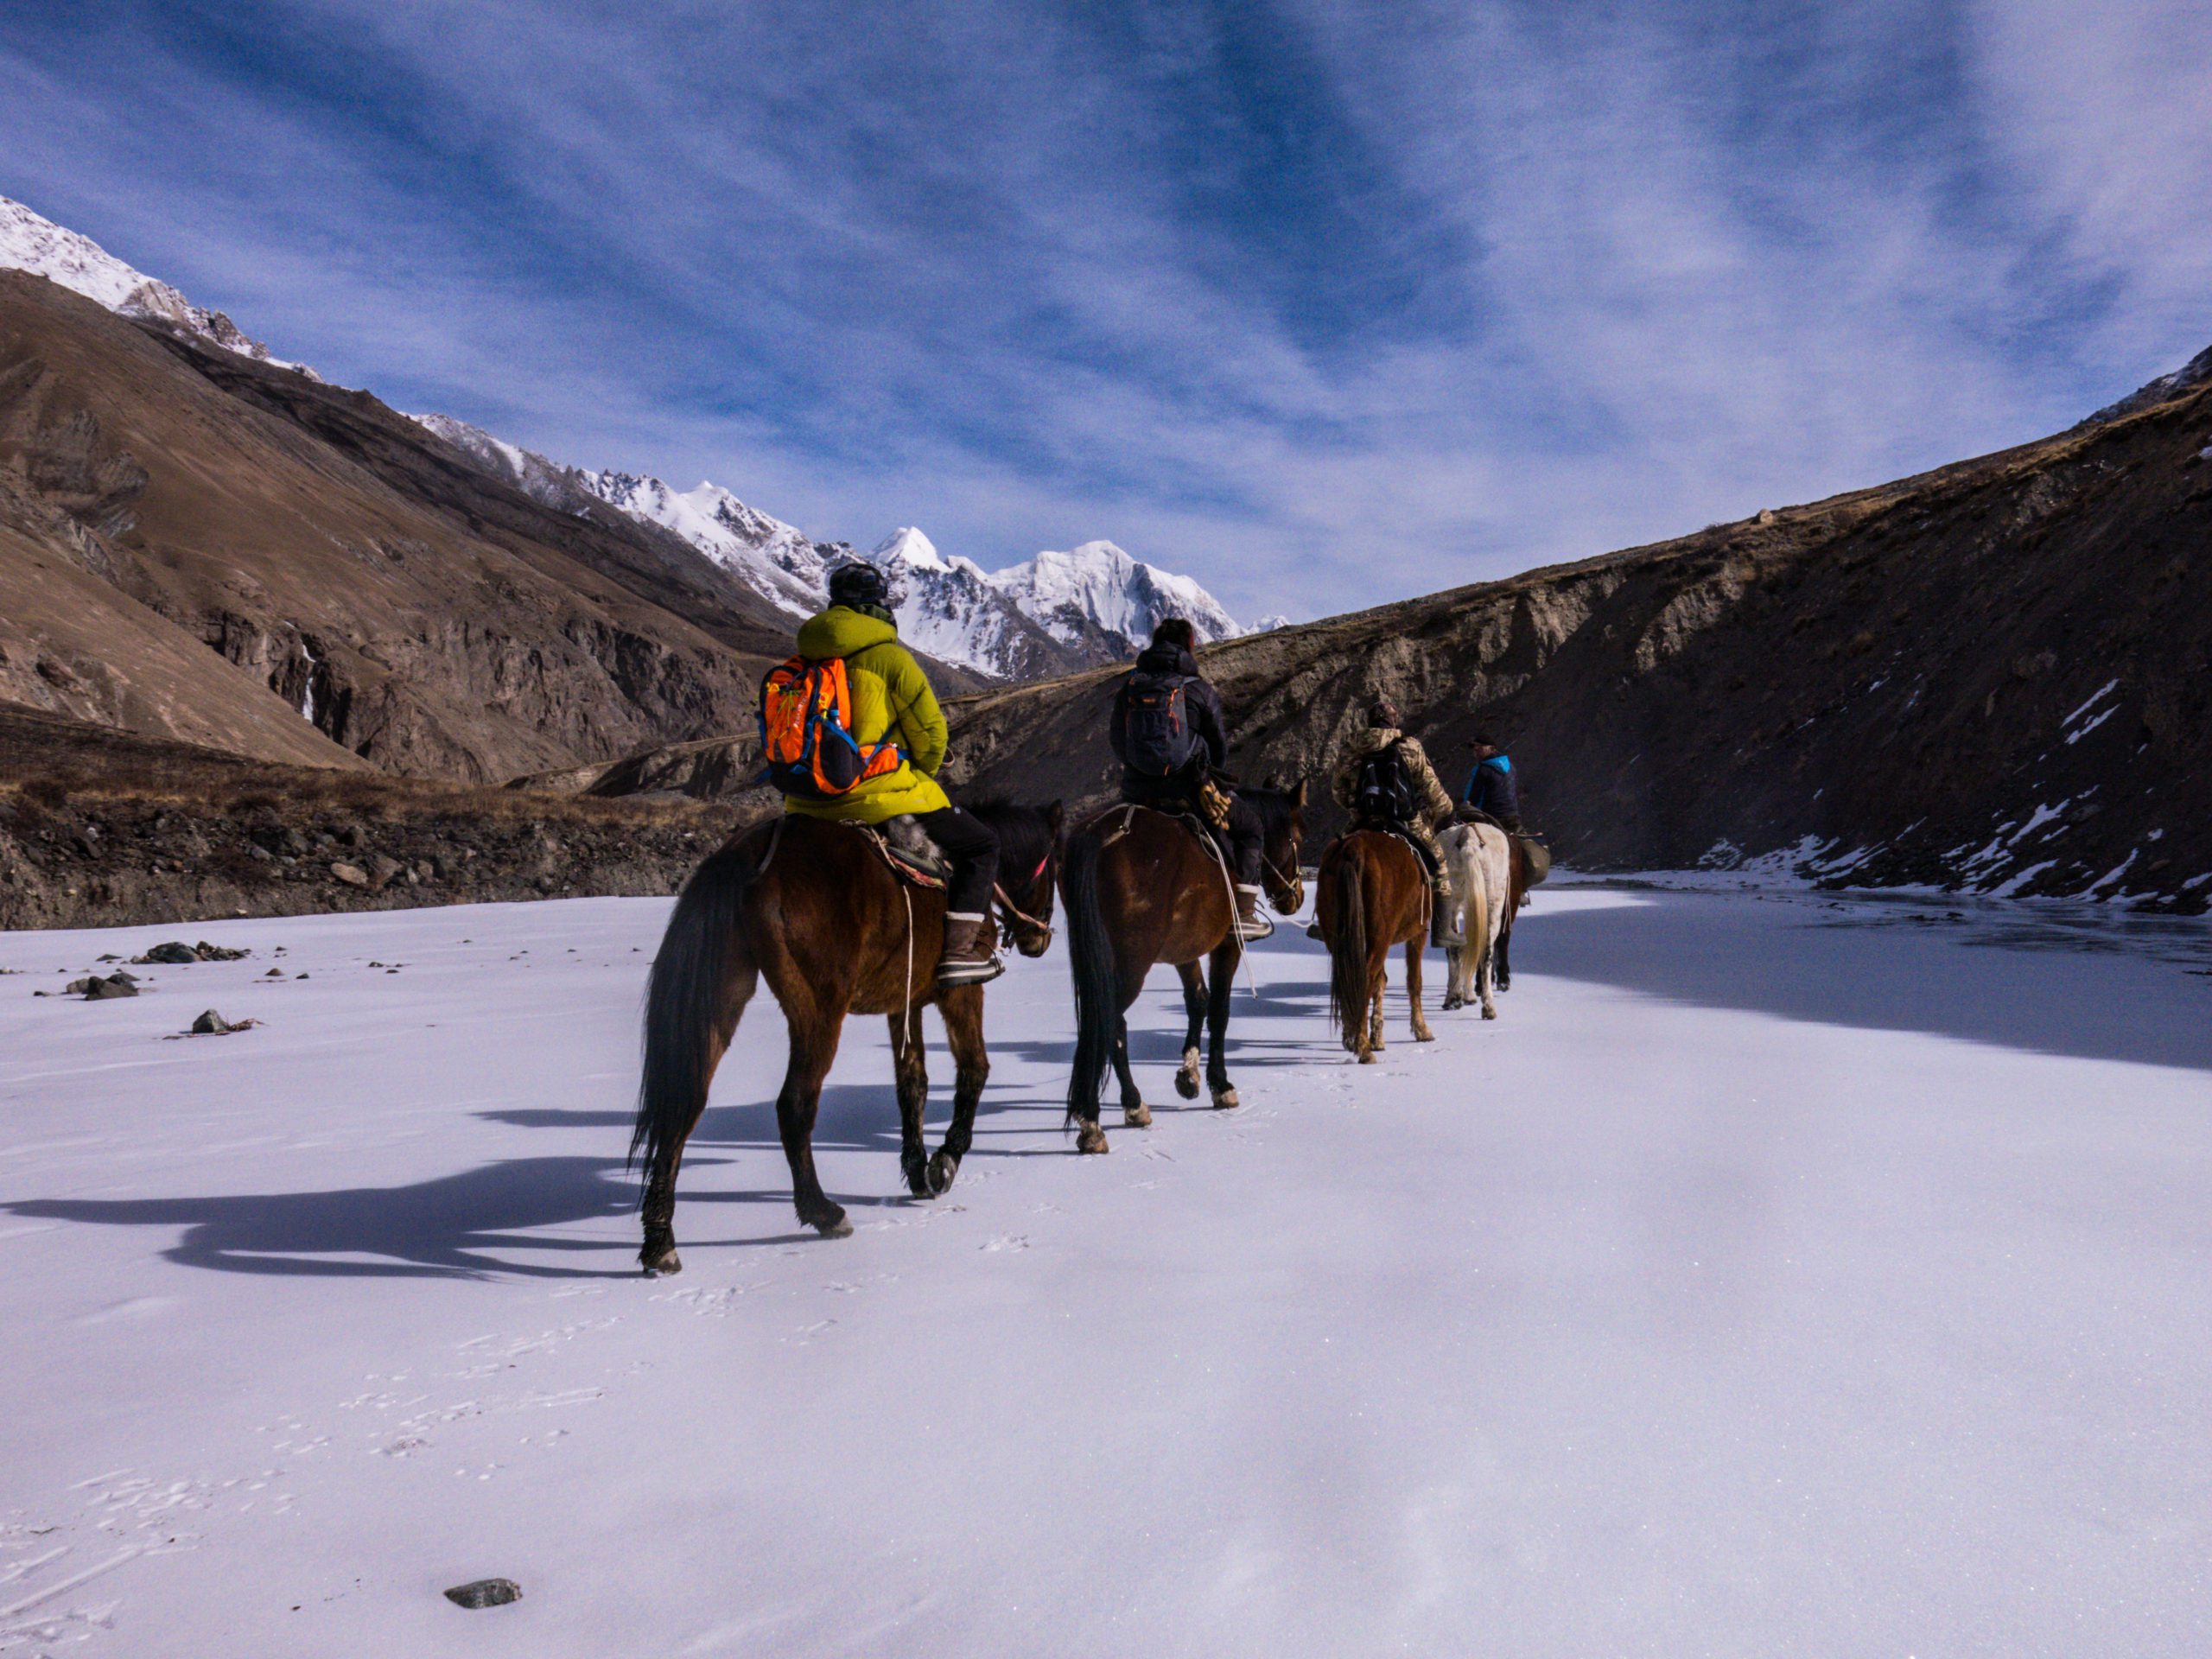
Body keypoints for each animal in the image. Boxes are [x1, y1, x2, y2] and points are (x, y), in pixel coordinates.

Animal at [632, 800, 1061, 1274]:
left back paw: (659, 1240)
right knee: (794, 1106)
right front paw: (944, 1162)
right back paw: (823, 1212)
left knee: (684, 1104)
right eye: (1055, 870)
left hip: (723, 993)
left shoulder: (905, 1002)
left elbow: (912, 1084)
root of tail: (748, 857)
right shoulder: (963, 991)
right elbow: (975, 1069)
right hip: (819, 1010)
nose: (1040, 938)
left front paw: (917, 1169)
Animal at [1057, 787, 1300, 1159]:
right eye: (1296, 838)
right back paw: (1099, 1120)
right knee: (1109, 1021)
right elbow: (1219, 1011)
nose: (1295, 897)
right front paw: (1220, 1084)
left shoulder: (1185, 951)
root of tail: (1098, 834)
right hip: (1133, 959)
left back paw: (1130, 1107)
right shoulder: (1227, 945)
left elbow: (1197, 1001)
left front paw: (1189, 1076)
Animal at [1309, 831, 1433, 1065]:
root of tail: (1352, 849)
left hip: (1341, 939)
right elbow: (1414, 981)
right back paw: (1363, 1048)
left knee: (1348, 980)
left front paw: (1377, 1038)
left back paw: (1352, 1038)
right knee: (1363, 980)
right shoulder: (1419, 933)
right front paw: (1422, 1030)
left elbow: (1380, 982)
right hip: (1380, 938)